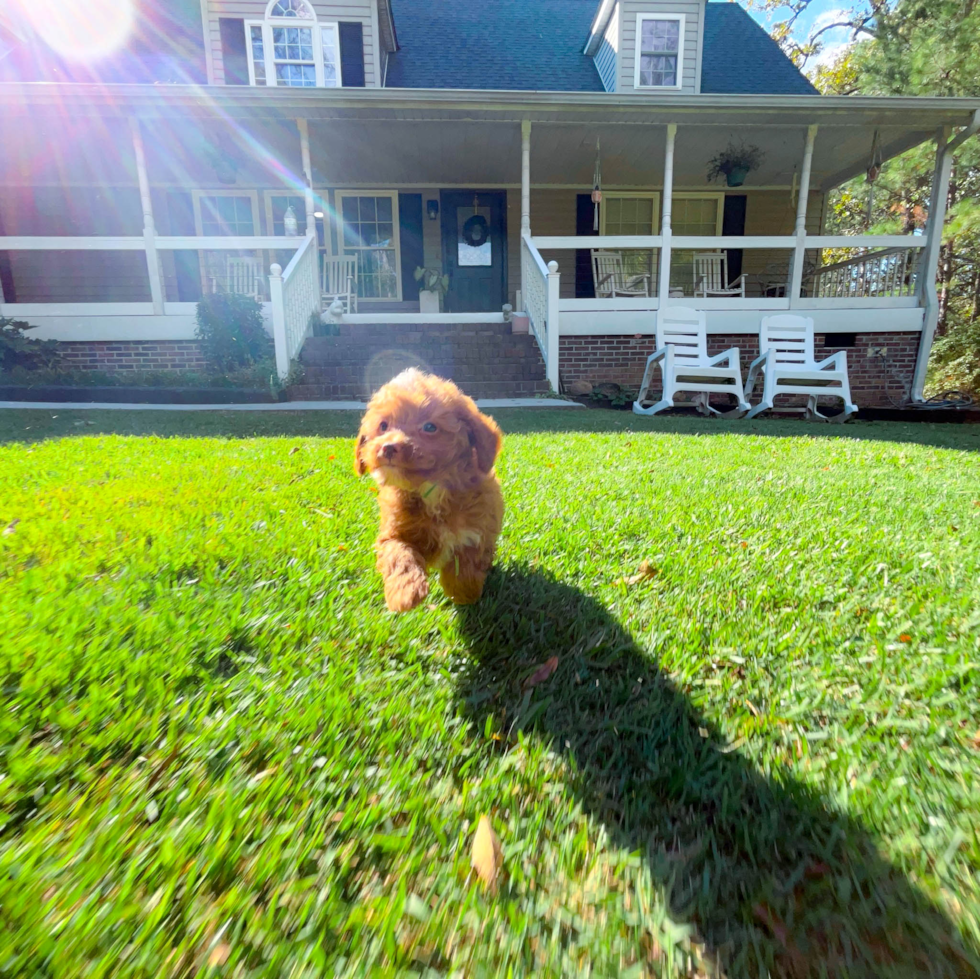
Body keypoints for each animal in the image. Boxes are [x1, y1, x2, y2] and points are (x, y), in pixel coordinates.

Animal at [354, 370, 506, 612]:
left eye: (429, 427)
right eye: (383, 426)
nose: (387, 447)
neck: (431, 489)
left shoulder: (477, 532)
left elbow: (465, 566)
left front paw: (462, 593)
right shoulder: (393, 533)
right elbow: (399, 555)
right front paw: (405, 593)